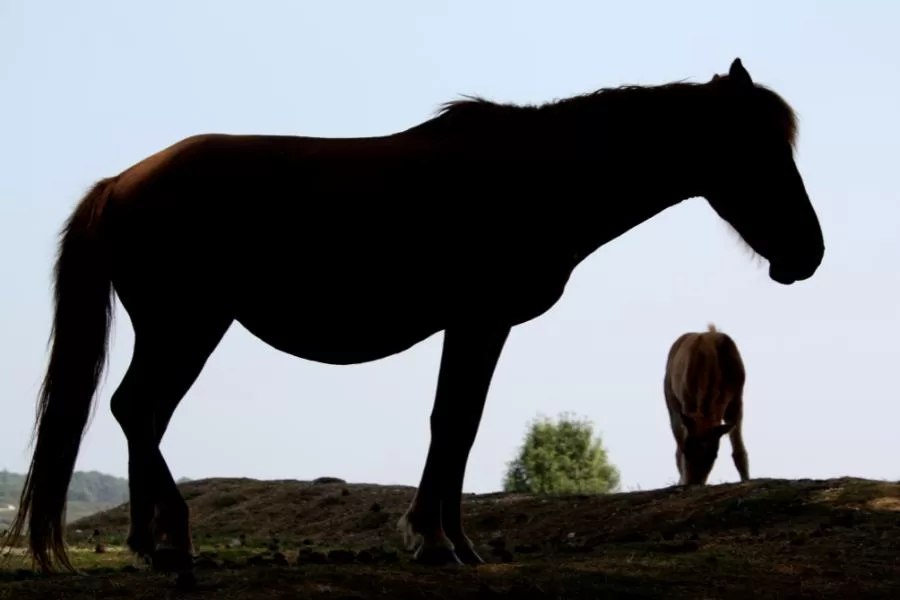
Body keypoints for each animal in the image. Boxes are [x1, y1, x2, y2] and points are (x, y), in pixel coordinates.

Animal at [664, 324, 748, 488]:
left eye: (713, 455)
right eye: (687, 450)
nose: (693, 484)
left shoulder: (736, 400)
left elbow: (739, 451)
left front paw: (746, 480)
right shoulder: (687, 401)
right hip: (670, 399)